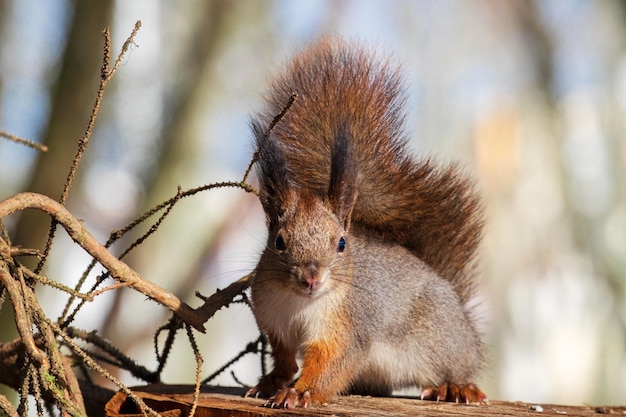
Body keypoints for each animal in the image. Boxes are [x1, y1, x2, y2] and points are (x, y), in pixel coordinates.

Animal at [244, 37, 482, 408]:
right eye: (279, 242)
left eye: (341, 243)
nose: (311, 278)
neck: (300, 304)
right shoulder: (275, 325)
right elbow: (284, 360)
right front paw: (271, 383)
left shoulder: (346, 332)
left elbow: (330, 365)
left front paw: (301, 392)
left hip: (443, 341)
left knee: (460, 367)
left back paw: (455, 387)